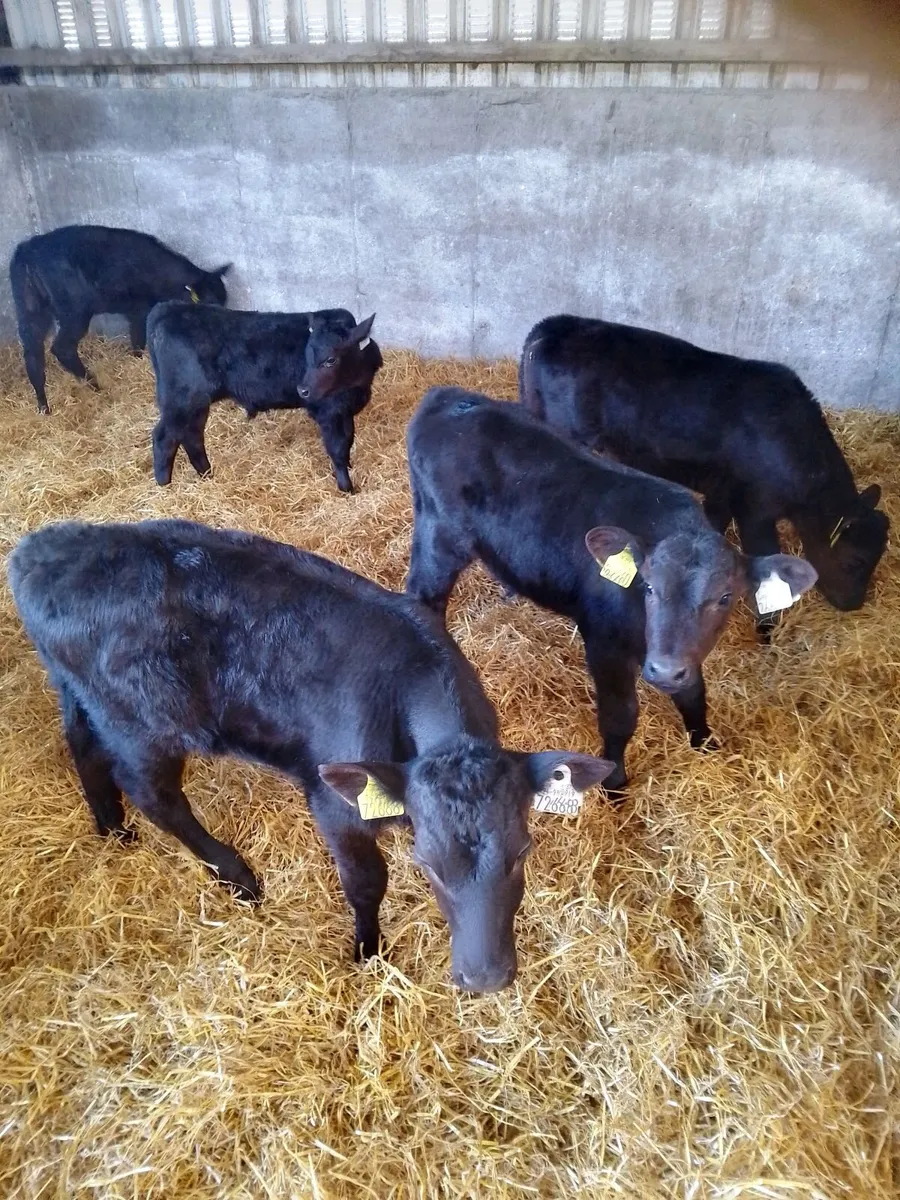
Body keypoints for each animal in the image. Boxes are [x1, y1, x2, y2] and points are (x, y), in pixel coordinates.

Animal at [8, 518, 612, 993]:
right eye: (427, 864)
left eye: (521, 852)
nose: (484, 979)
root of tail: (38, 549)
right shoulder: (335, 804)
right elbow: (366, 884)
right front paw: (368, 952)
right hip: (146, 724)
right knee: (154, 794)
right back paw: (236, 876)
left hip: (82, 695)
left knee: (84, 747)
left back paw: (112, 828)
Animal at [9, 225, 229, 414]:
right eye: (209, 301)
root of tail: (28, 249)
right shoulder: (140, 308)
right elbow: (139, 337)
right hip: (74, 310)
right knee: (62, 347)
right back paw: (95, 385)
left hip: (29, 307)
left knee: (32, 354)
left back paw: (44, 407)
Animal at [147, 303, 382, 493]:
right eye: (307, 355)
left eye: (331, 360)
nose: (302, 390)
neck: (356, 384)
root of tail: (167, 308)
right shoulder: (328, 411)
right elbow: (338, 447)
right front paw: (346, 487)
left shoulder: (345, 409)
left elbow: (349, 439)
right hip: (181, 398)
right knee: (164, 437)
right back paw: (165, 487)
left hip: (196, 403)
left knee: (191, 435)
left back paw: (206, 474)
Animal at [406, 388, 818, 792]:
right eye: (648, 586)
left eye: (725, 597)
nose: (664, 671)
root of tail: (448, 397)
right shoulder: (605, 643)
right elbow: (621, 715)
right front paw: (615, 783)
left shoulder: (683, 656)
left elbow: (693, 694)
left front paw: (705, 744)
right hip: (440, 537)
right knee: (424, 596)